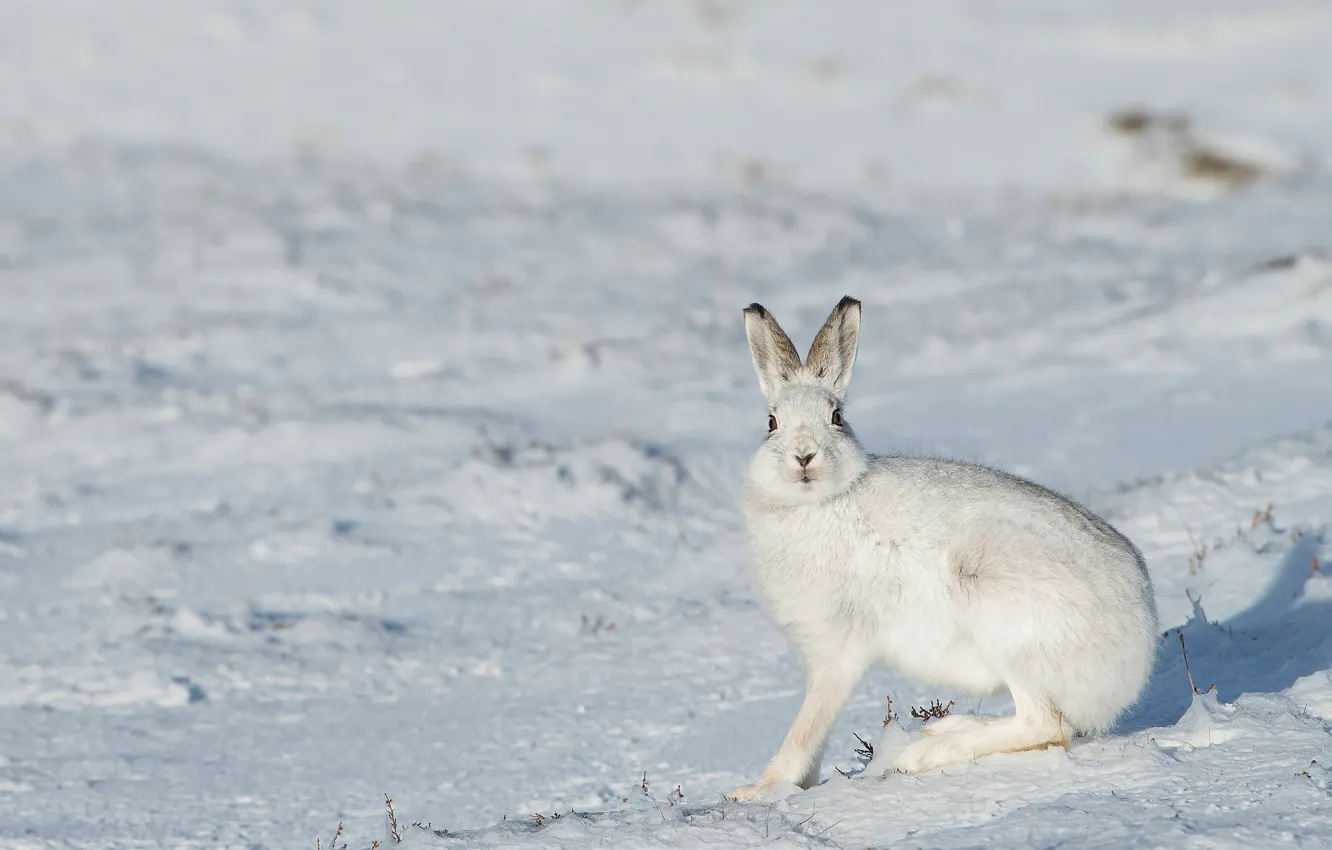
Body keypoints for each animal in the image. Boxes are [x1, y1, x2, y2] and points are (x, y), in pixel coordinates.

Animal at [724, 296, 1159, 802]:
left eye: (836, 418)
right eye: (771, 423)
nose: (804, 456)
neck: (821, 502)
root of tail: (1138, 648)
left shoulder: (838, 651)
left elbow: (807, 725)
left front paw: (758, 790)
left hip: (1006, 619)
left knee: (1045, 724)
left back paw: (921, 752)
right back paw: (944, 729)